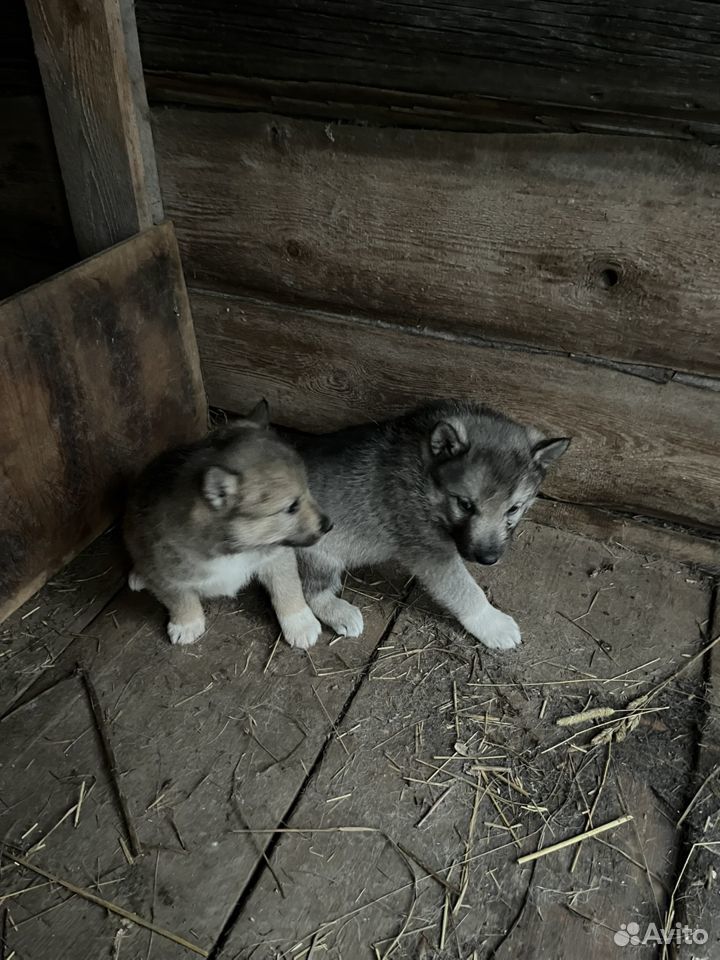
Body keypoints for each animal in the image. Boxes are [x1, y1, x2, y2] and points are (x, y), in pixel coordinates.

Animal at [282, 402, 568, 648]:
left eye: (514, 509)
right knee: (312, 592)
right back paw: (341, 613)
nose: (488, 559)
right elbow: (466, 591)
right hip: (320, 556)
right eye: (465, 505)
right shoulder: (431, 553)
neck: (426, 478)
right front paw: (492, 623)